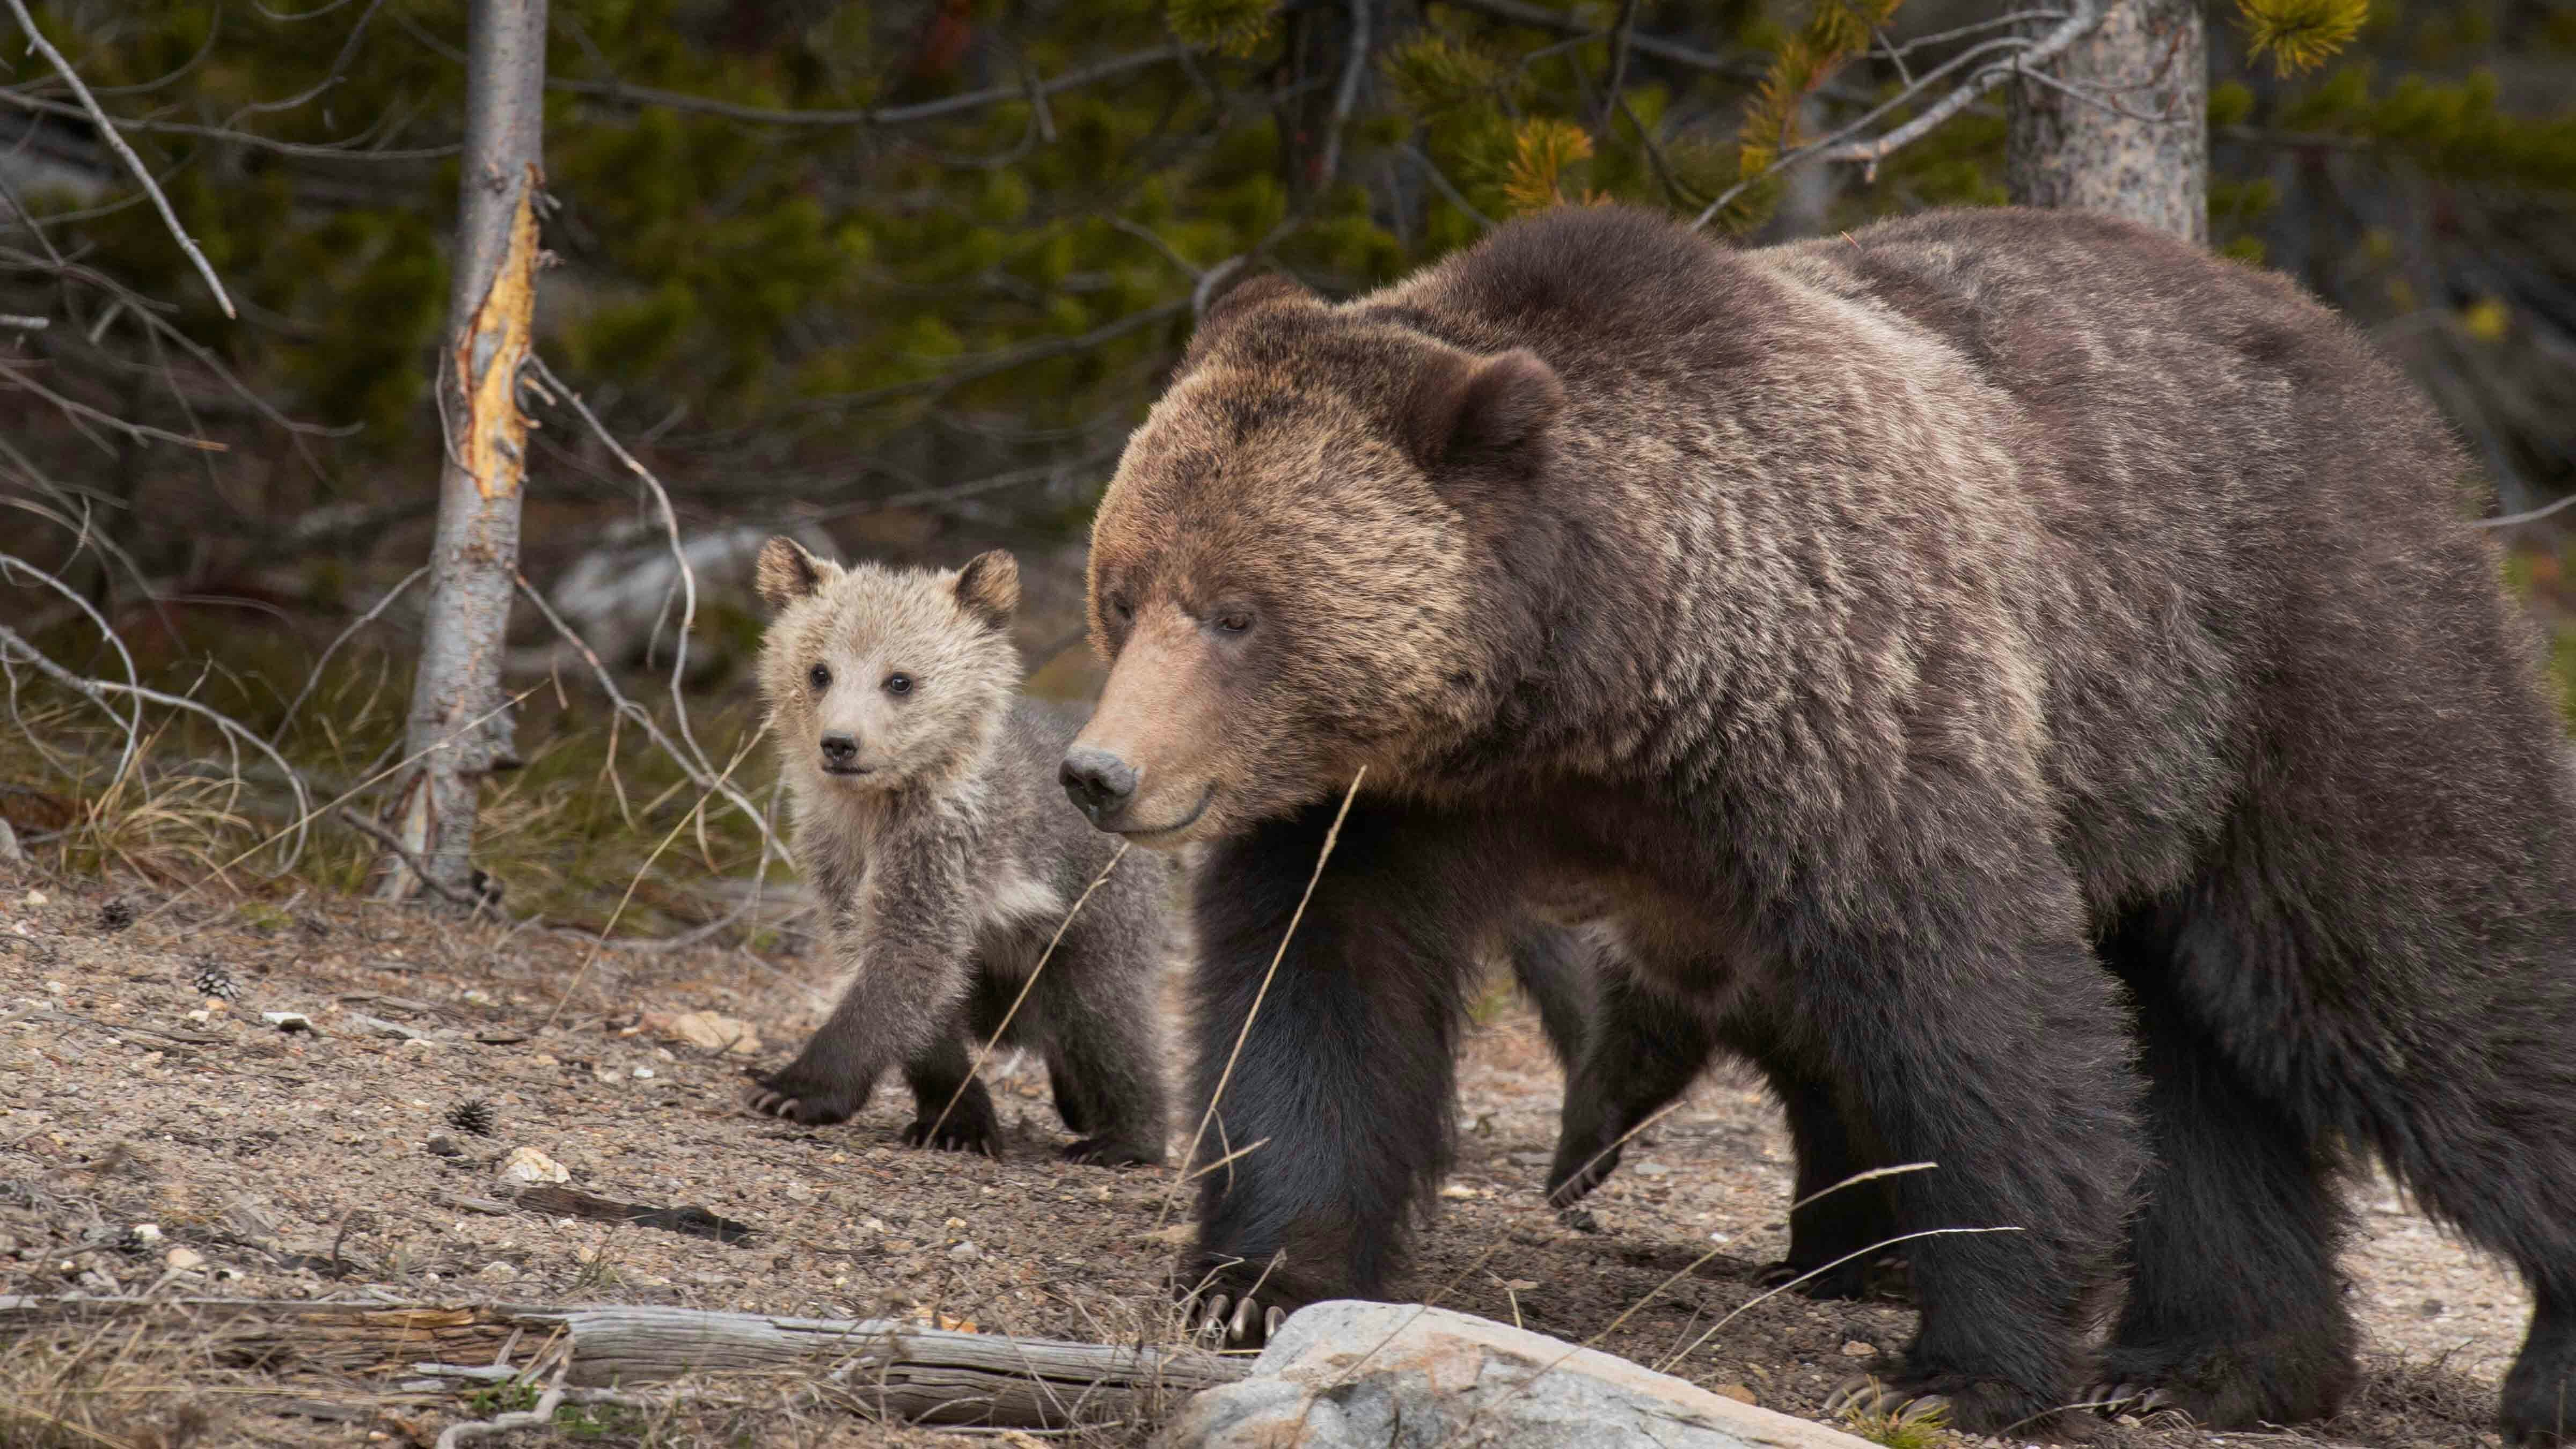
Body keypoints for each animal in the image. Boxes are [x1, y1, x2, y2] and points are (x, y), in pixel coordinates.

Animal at [743, 537, 1170, 1166]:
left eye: (900, 680)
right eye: (819, 670)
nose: (841, 744)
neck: (876, 810)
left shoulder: (946, 850)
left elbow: (905, 964)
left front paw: (793, 1089)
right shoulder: (837, 858)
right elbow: (922, 1002)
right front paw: (955, 1119)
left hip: (1095, 908)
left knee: (1103, 1014)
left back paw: (1123, 1138)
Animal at [1053, 203, 2576, 1442]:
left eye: (1238, 612)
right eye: (1124, 588)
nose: (1100, 772)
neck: (1596, 677)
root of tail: (2355, 357)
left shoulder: (1849, 706)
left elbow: (1971, 1003)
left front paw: (1965, 1363)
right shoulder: (1393, 807)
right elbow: (1320, 996)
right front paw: (1256, 1281)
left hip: (2300, 664)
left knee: (2425, 979)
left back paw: (2529, 1364)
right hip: (2155, 784)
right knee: (2196, 1054)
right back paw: (2209, 1361)